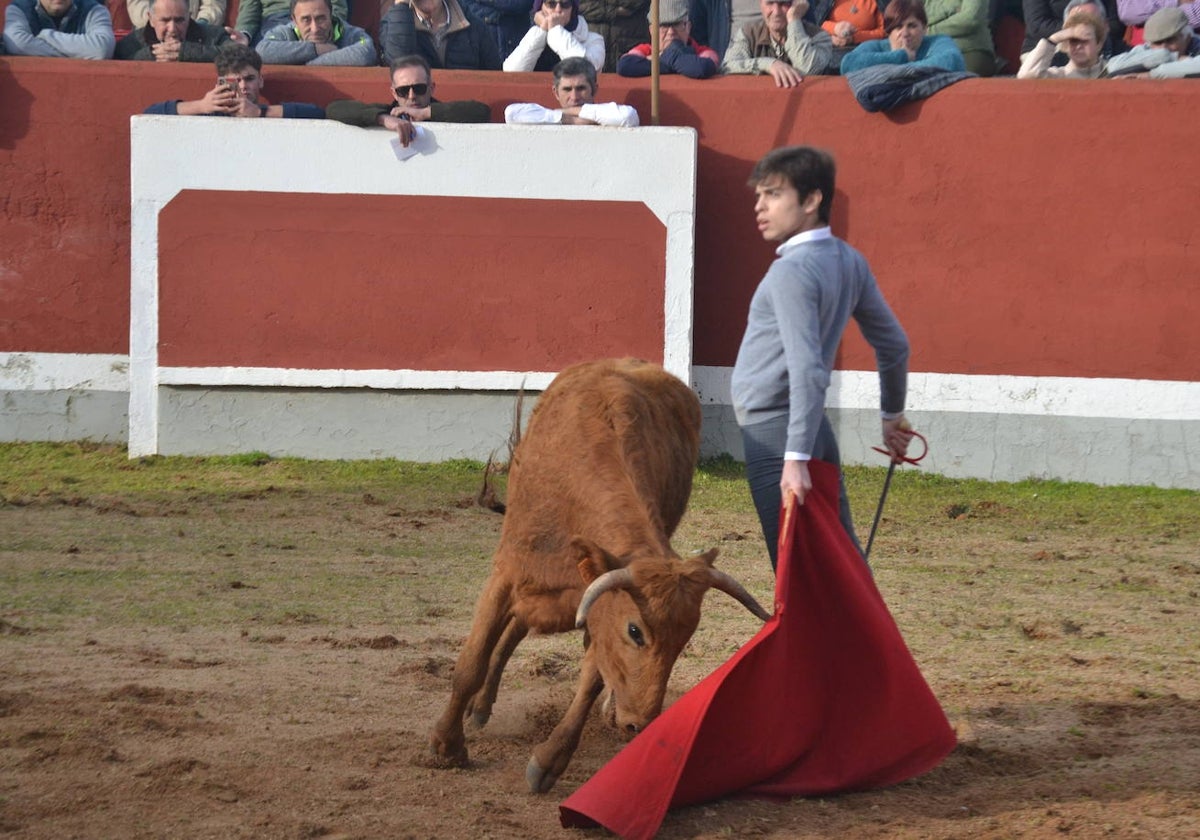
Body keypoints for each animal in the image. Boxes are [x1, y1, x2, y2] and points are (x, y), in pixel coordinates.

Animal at [432, 355, 768, 792]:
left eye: (685, 639)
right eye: (636, 631)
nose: (640, 724)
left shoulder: (593, 605)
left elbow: (592, 677)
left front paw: (550, 759)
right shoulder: (507, 575)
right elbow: (470, 662)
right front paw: (447, 746)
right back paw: (480, 707)